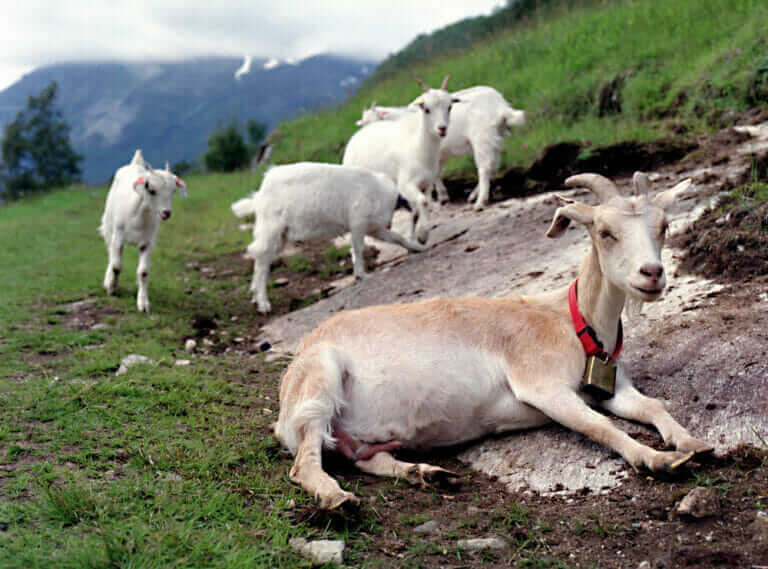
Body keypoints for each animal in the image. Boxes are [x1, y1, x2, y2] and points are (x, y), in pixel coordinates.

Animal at [99, 150, 187, 313]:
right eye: (151, 190)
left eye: (173, 191)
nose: (166, 213)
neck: (139, 216)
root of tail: (135, 163)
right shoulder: (118, 237)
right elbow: (116, 266)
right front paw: (112, 289)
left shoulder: (148, 242)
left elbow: (143, 272)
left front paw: (143, 303)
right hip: (108, 226)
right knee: (110, 255)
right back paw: (108, 280)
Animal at [231, 162, 426, 314]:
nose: (423, 236)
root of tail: (260, 194)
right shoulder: (358, 222)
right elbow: (358, 248)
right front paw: (362, 275)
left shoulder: (374, 228)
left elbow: (396, 238)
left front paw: (417, 248)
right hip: (271, 227)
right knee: (261, 259)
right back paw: (263, 303)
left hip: (280, 233)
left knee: (260, 256)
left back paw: (255, 295)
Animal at [273, 172, 713, 509]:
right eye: (605, 232)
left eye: (664, 226)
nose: (651, 273)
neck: (575, 323)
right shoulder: (542, 385)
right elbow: (600, 426)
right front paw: (657, 459)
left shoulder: (611, 387)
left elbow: (653, 406)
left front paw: (694, 444)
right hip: (318, 385)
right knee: (306, 462)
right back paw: (336, 499)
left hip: (359, 436)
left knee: (364, 458)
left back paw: (428, 475)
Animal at [342, 76, 458, 243]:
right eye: (426, 109)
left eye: (449, 107)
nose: (442, 128)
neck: (418, 145)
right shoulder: (405, 184)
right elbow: (422, 202)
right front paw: (423, 235)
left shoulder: (427, 184)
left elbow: (421, 207)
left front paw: (416, 236)